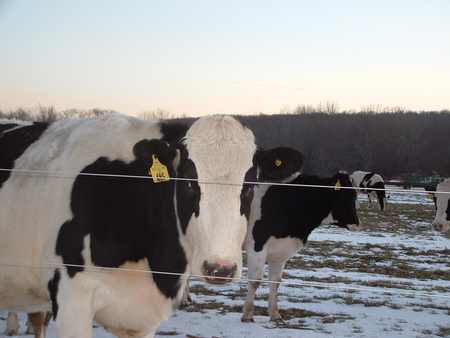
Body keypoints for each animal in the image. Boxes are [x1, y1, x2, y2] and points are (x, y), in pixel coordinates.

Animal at [241, 170, 360, 324]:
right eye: (351, 197)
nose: (357, 223)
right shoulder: (257, 246)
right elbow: (255, 281)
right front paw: (247, 315)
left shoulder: (280, 252)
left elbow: (275, 282)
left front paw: (275, 315)